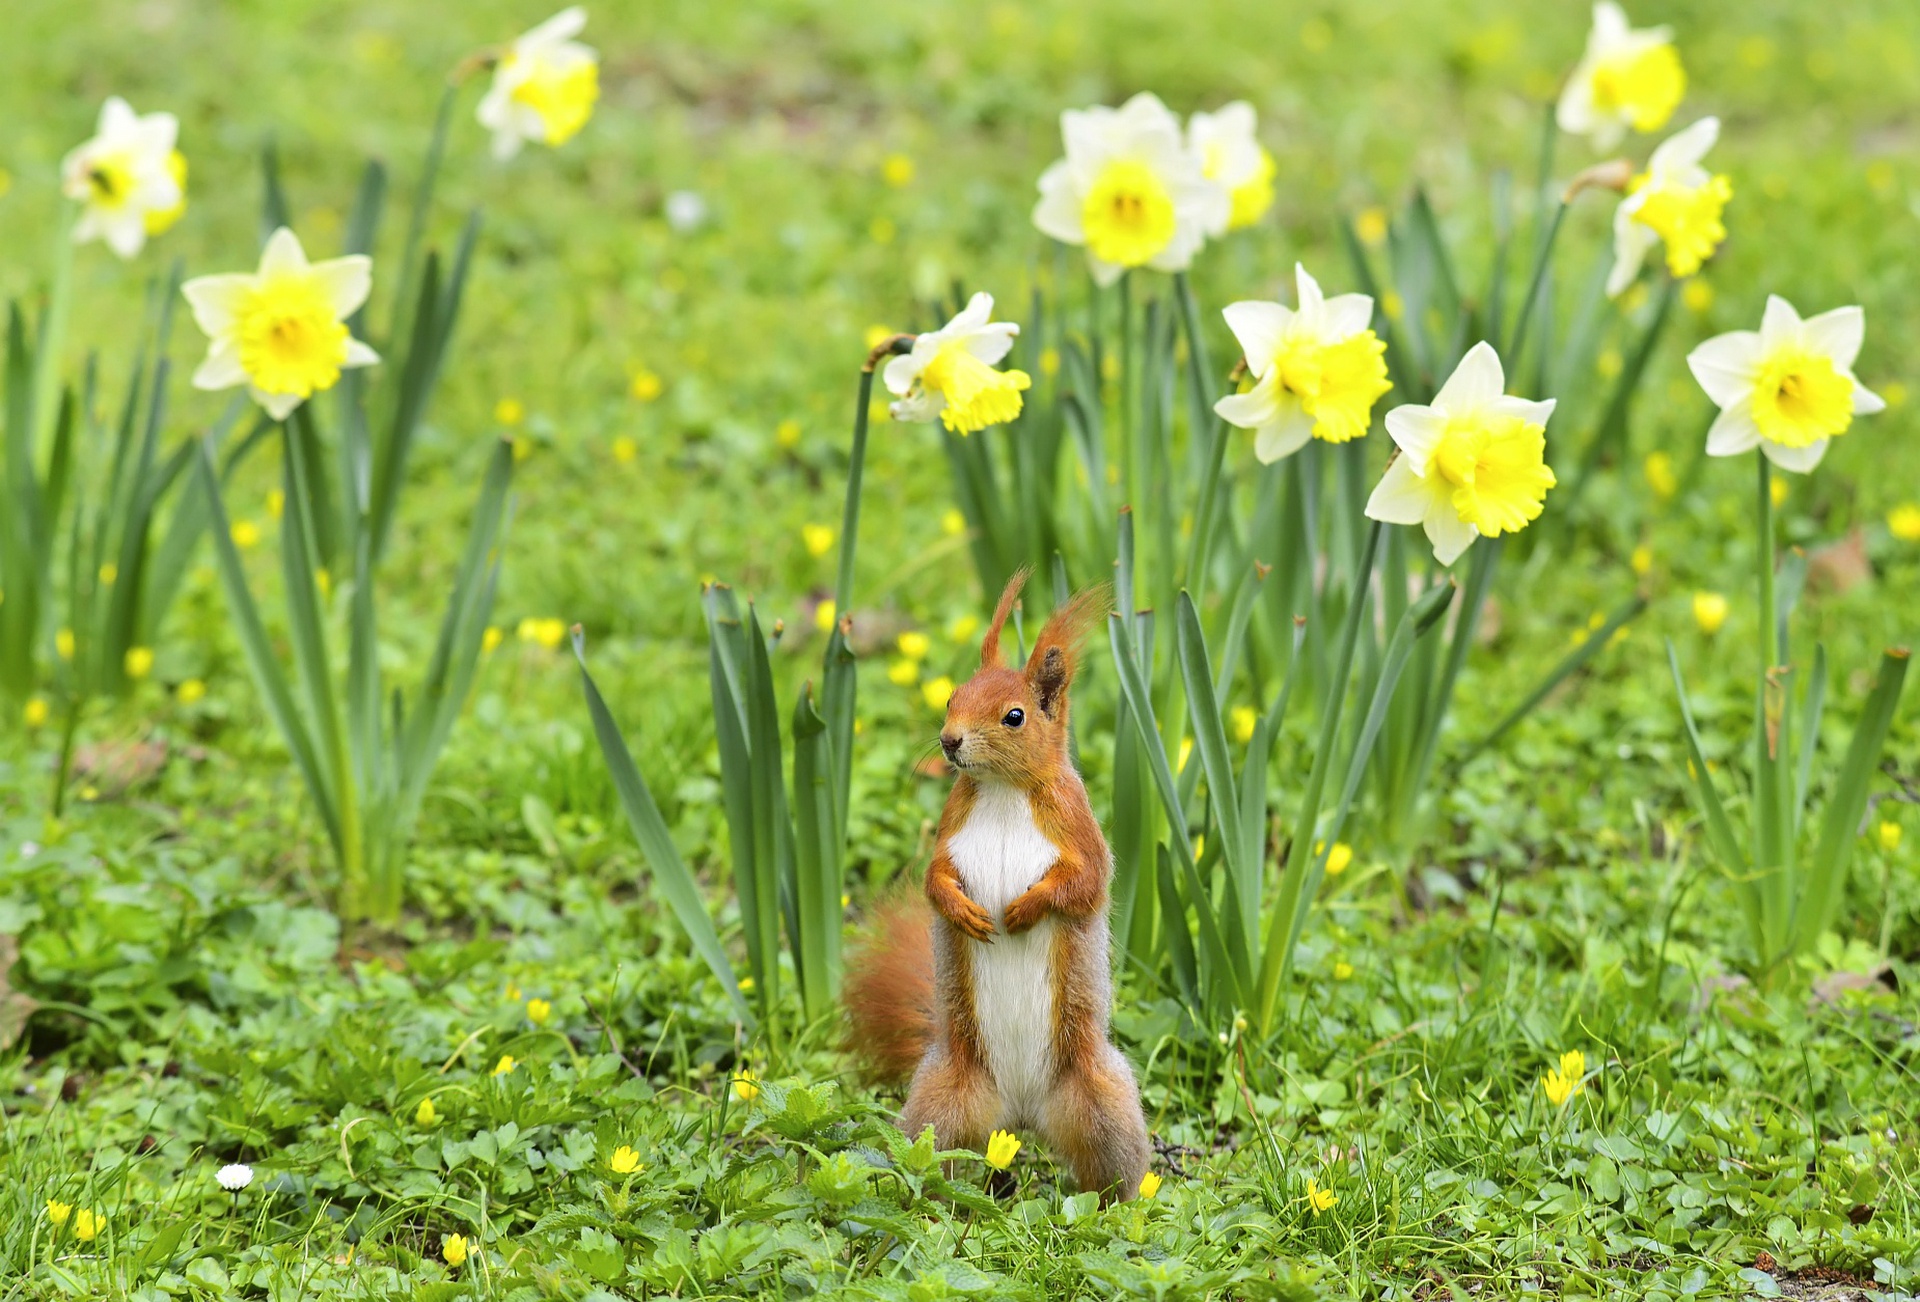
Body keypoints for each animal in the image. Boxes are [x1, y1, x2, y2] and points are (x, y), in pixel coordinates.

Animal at [844, 572, 1144, 1205]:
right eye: (952, 696)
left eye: (1014, 716)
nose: (949, 740)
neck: (1004, 789)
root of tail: (1022, 1114)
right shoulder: (949, 834)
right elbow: (934, 882)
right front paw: (965, 914)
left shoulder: (1080, 832)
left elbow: (1083, 886)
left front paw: (1025, 910)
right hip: (944, 1103)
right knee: (931, 1159)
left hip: (1097, 1100)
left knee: (1109, 1171)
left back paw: (1124, 1203)